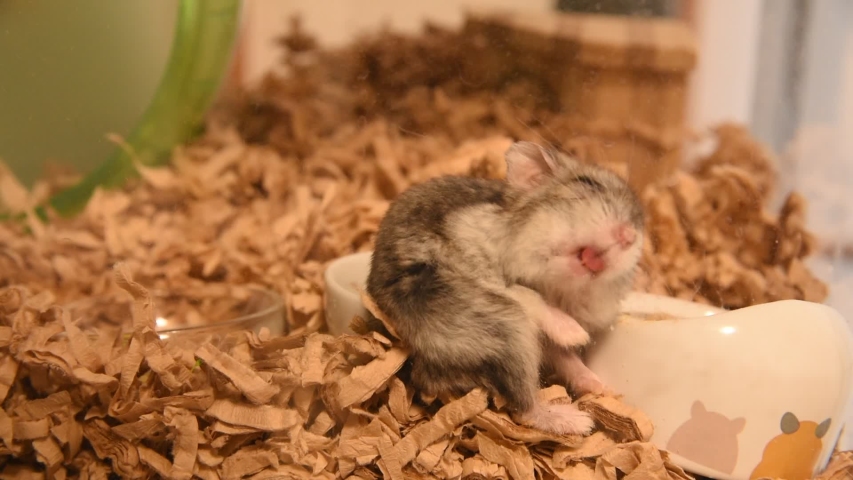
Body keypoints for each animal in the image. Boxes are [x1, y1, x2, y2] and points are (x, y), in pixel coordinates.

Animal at [366, 141, 645, 435]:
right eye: (587, 183)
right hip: (509, 329)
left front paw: (601, 386)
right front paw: (576, 334)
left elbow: (566, 357)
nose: (629, 236)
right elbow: (528, 295)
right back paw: (579, 421)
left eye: (641, 224)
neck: (551, 282)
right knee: (524, 408)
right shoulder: (472, 260)